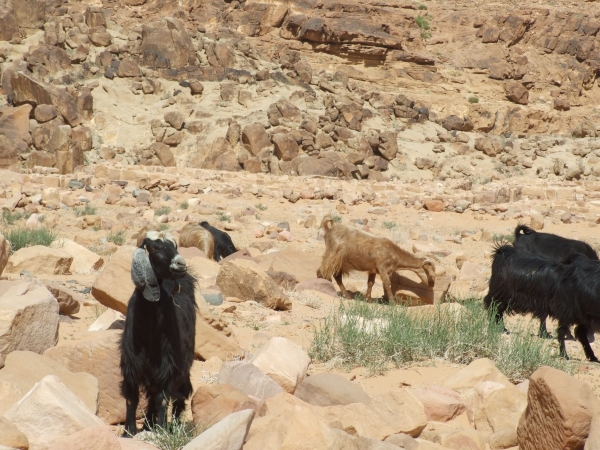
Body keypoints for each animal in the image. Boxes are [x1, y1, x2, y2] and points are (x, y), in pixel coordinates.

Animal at [119, 229, 197, 436]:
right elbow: (131, 397)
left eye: (174, 246)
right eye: (154, 248)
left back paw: (174, 425)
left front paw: (161, 431)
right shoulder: (131, 362)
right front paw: (129, 431)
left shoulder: (167, 364)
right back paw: (148, 423)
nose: (180, 264)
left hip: (184, 361)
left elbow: (163, 397)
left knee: (180, 393)